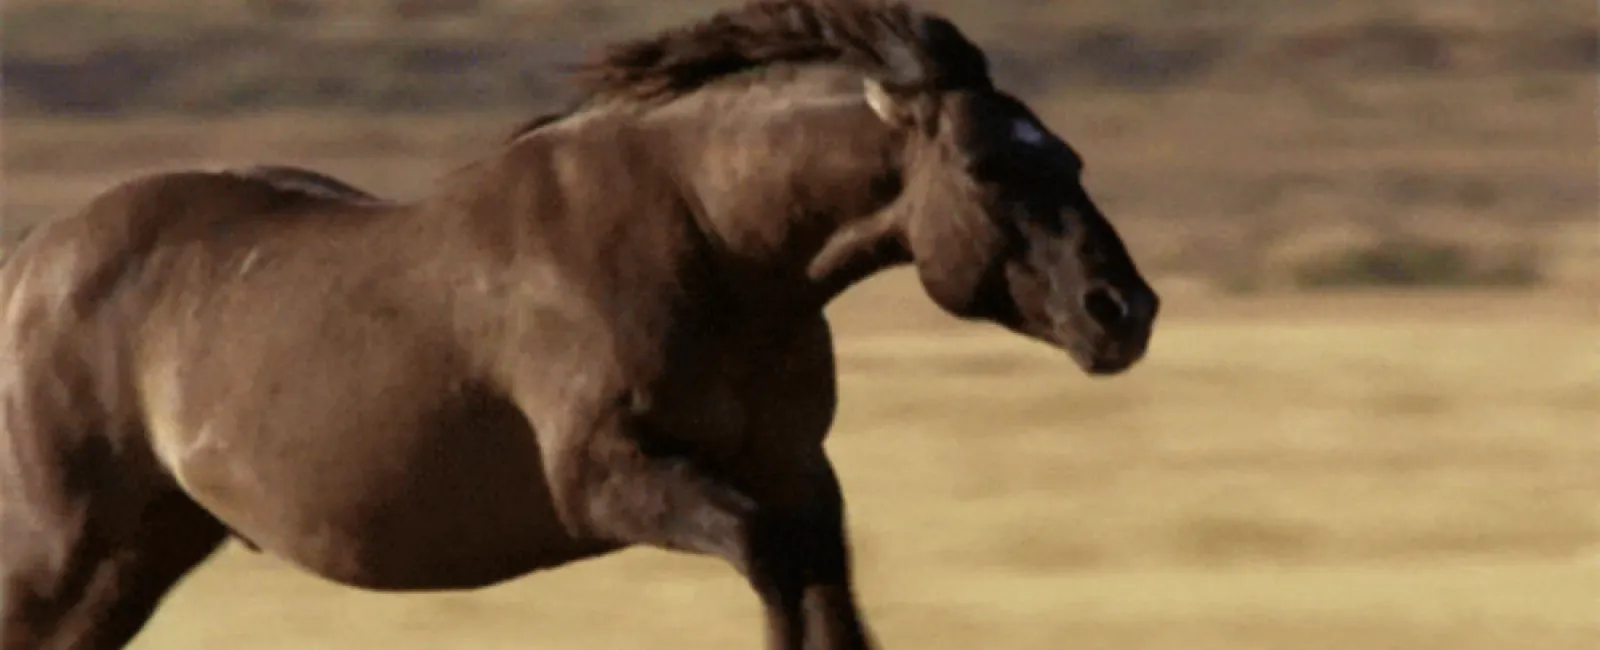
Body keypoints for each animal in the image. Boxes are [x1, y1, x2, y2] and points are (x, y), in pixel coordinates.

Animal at [0, 2, 1158, 646]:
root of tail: (31, 261)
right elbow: (775, 575)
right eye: (987, 165)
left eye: (1069, 155)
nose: (1123, 310)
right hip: (68, 553)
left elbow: (826, 603)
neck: (710, 241)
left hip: (143, 549)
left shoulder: (798, 476)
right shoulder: (611, 480)